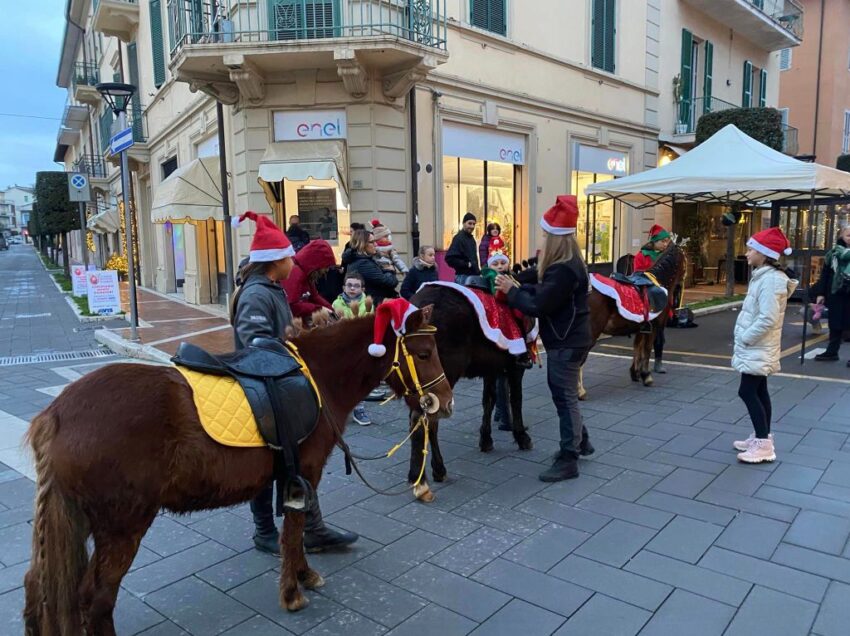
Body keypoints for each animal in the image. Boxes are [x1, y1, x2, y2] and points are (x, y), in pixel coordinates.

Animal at [23, 306, 454, 632]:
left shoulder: (290, 478)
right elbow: (293, 533)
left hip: (76, 519)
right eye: (424, 352)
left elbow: (294, 531)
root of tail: (56, 416)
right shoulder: (305, 473)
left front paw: (302, 575)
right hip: (122, 525)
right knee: (96, 598)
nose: (445, 403)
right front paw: (292, 591)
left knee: (40, 586)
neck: (316, 377)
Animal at [580, 243, 684, 398]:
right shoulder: (653, 327)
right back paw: (579, 391)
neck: (659, 282)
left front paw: (635, 373)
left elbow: (637, 347)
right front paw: (646, 376)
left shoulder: (641, 327)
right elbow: (647, 349)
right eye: (685, 258)